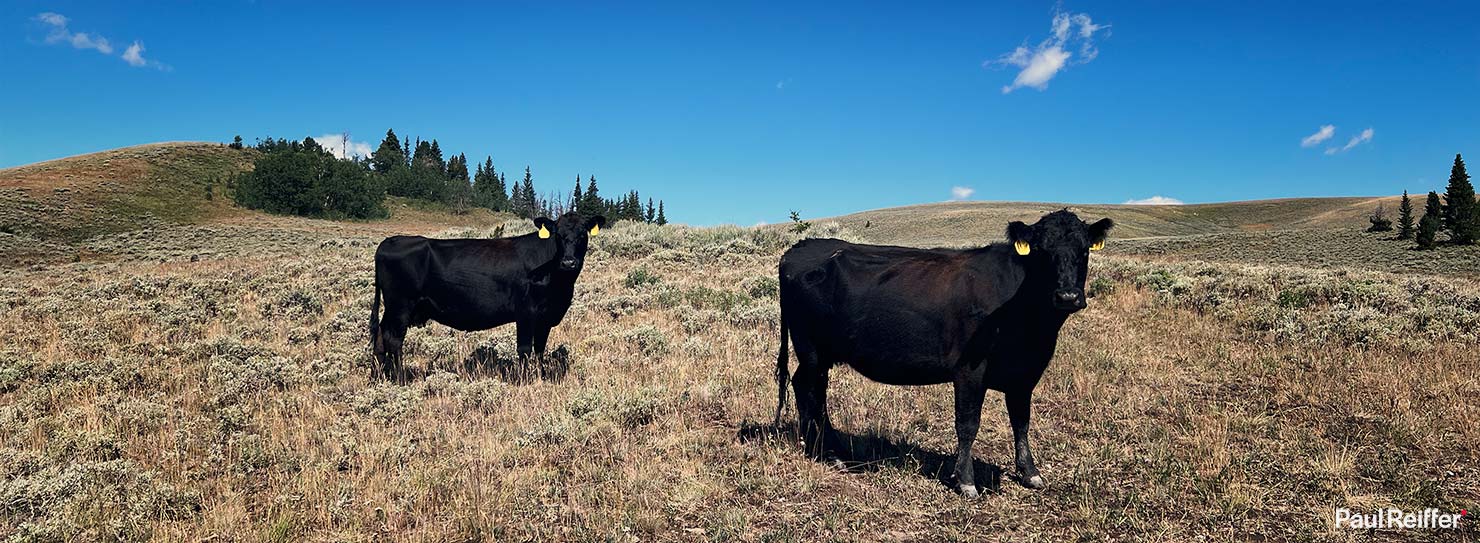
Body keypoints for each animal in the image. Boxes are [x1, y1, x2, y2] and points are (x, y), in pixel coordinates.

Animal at [370, 213, 606, 381]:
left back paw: (380, 377)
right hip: (401, 306)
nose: (569, 262)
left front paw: (542, 376)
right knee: (394, 339)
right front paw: (525, 380)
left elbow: (539, 349)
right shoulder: (525, 312)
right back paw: (399, 379)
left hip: (393, 309)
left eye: (583, 234)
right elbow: (524, 349)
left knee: (381, 335)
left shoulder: (545, 317)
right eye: (558, 235)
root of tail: (389, 242)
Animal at [775, 210, 1112, 500]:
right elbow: (968, 424)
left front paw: (1030, 473)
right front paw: (966, 481)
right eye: (1041, 251)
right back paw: (827, 453)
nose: (1067, 296)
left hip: (820, 353)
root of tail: (800, 248)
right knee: (811, 390)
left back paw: (821, 447)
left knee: (806, 388)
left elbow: (1022, 422)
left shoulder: (1025, 372)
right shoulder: (970, 369)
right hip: (811, 349)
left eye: (1084, 250)